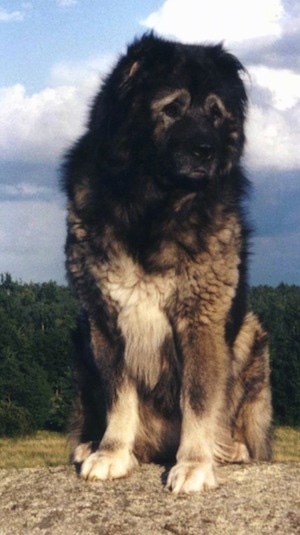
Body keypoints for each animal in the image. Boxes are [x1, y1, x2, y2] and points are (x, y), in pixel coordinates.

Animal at [62, 33, 272, 494]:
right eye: (172, 108)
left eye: (215, 113)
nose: (206, 150)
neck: (154, 206)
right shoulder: (104, 320)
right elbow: (119, 397)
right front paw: (111, 453)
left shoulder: (201, 319)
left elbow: (198, 400)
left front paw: (194, 464)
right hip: (81, 338)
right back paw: (91, 444)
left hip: (250, 334)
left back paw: (230, 450)